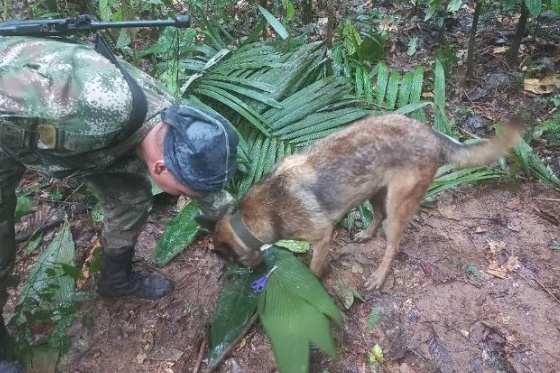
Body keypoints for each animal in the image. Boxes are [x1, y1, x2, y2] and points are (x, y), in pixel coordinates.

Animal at [199, 115, 524, 290]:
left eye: (231, 261)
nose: (248, 275)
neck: (251, 218)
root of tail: (431, 133)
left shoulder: (322, 236)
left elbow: (314, 267)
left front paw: (313, 281)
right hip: (374, 190)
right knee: (377, 217)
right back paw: (366, 234)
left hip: (397, 204)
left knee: (392, 245)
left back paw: (379, 276)